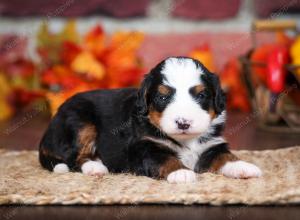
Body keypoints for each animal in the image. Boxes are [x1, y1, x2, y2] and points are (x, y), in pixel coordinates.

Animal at [38, 56, 262, 182]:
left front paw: (243, 166)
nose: (183, 123)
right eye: (162, 97)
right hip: (79, 120)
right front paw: (180, 173)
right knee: (74, 157)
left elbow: (225, 156)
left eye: (201, 95)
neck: (185, 140)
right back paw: (95, 167)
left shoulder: (211, 145)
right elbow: (164, 158)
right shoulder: (144, 147)